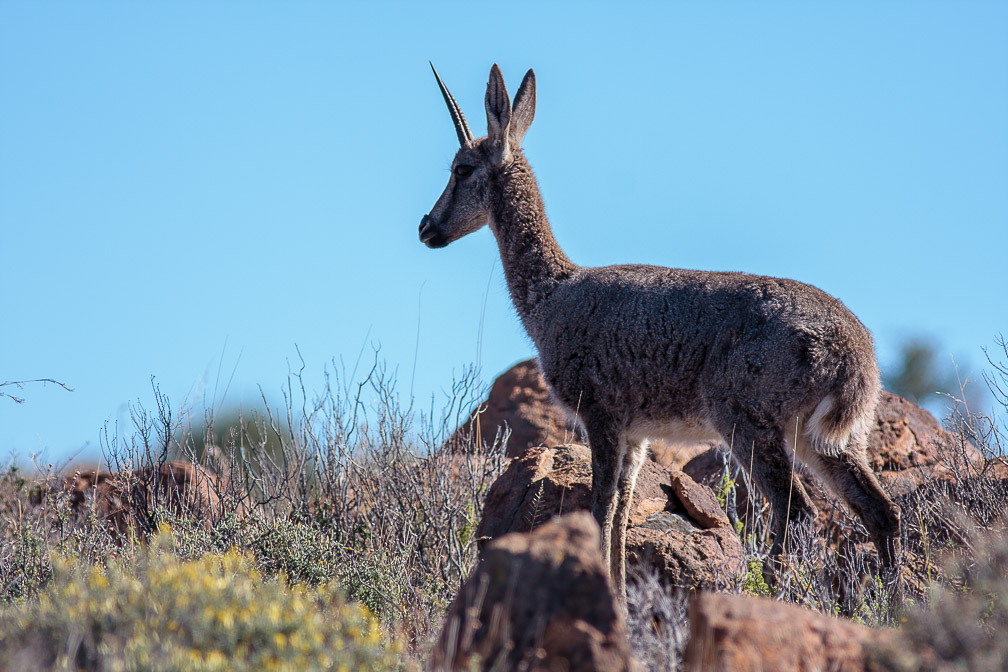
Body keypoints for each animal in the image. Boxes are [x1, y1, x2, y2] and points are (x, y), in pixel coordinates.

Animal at [417, 64, 907, 600]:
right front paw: (620, 595)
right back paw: (894, 606)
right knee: (882, 511)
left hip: (749, 423)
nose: (426, 227)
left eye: (461, 168)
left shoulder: (601, 416)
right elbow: (622, 512)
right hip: (830, 439)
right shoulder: (637, 435)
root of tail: (856, 354)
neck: (551, 296)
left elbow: (601, 508)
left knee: (797, 510)